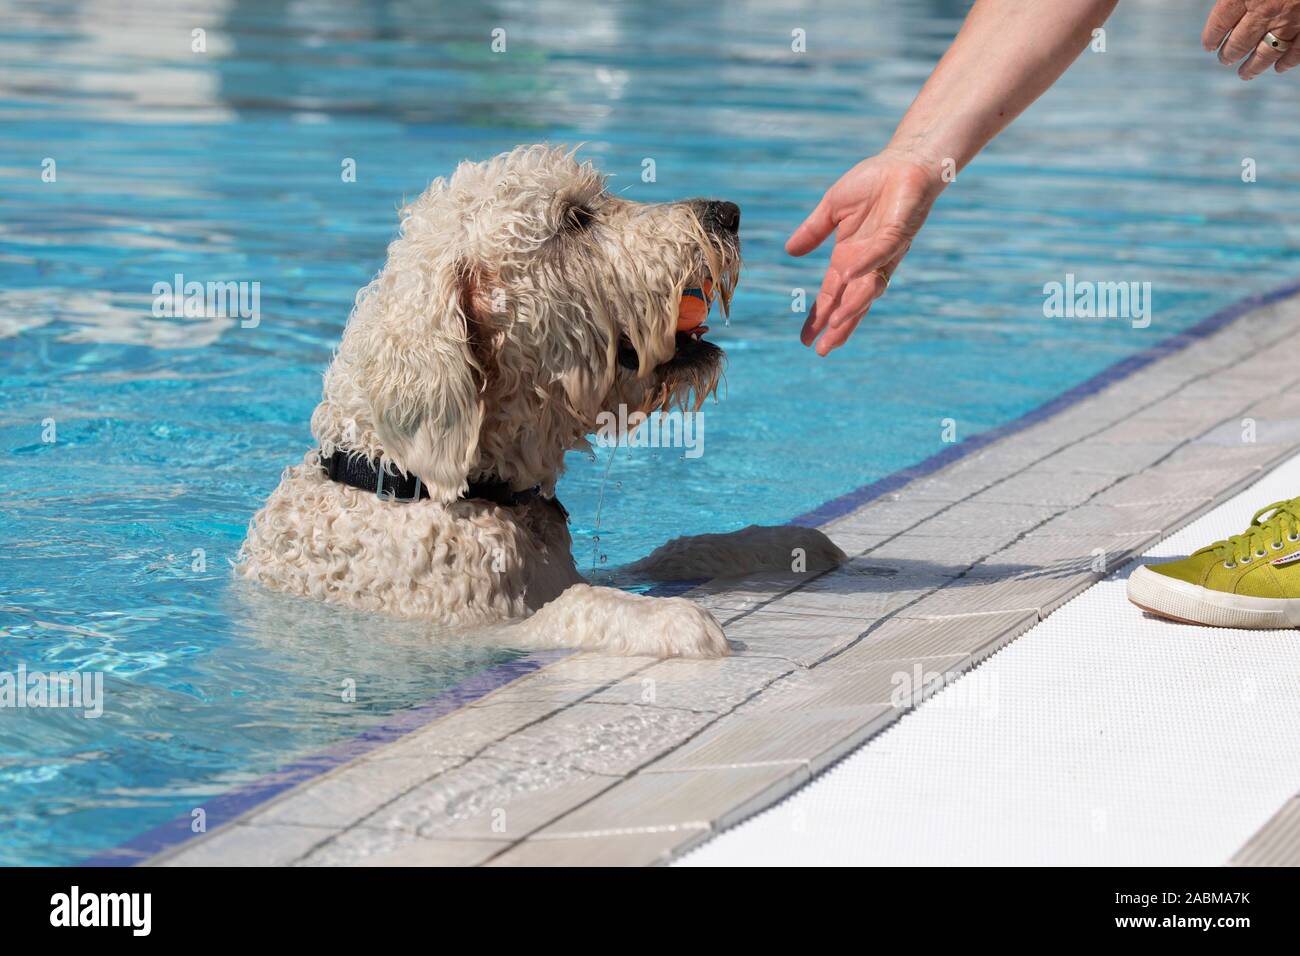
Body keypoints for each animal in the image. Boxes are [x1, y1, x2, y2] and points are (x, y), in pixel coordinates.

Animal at [236, 147, 842, 658]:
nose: (726, 213)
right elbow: (571, 609)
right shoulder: (461, 627)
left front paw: (779, 543)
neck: (405, 479)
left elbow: (663, 556)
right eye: (574, 218)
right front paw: (670, 619)